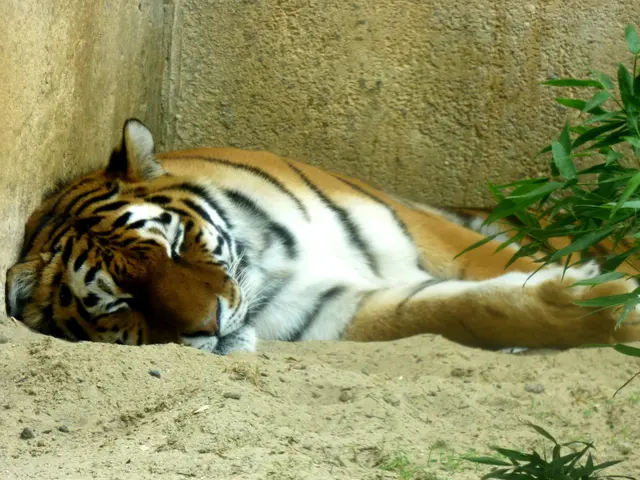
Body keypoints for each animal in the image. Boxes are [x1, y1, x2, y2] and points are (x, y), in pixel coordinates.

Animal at [5, 119, 640, 355]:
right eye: (120, 304)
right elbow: (460, 310)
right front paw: (603, 307)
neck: (265, 263)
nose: (210, 326)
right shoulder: (338, 309)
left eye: (177, 246)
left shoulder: (413, 226)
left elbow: (494, 265)